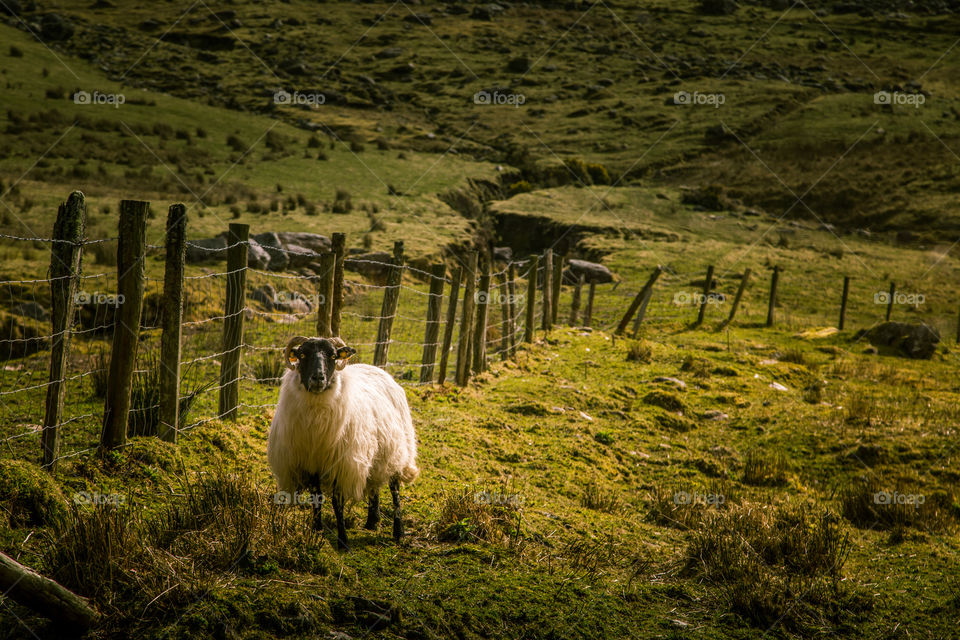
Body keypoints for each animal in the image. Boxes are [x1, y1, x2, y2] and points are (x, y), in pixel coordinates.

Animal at [270, 336, 420, 552]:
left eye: (333, 356)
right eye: (302, 354)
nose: (318, 378)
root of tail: (378, 369)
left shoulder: (341, 465)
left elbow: (337, 502)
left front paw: (343, 541)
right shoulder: (310, 464)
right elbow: (317, 499)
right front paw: (316, 531)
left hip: (396, 449)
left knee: (395, 488)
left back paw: (398, 532)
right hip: (375, 454)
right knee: (374, 485)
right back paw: (372, 521)